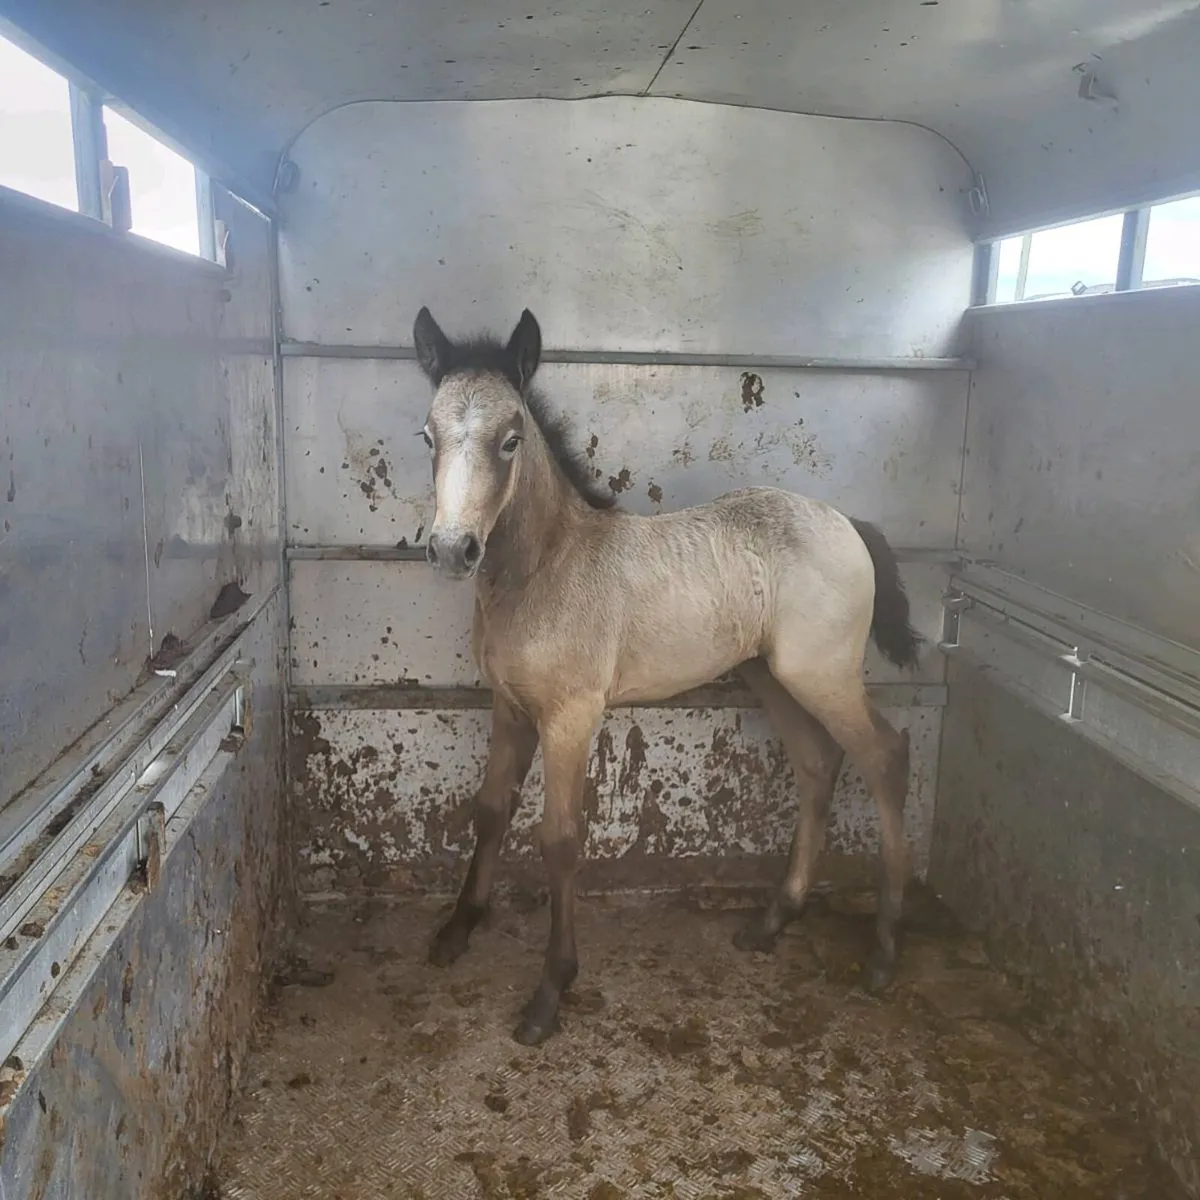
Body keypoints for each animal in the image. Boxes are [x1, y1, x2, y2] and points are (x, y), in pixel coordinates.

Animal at [412, 306, 922, 1046]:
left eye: (511, 439)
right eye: (427, 435)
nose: (454, 549)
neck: (545, 569)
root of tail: (846, 522)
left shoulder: (571, 716)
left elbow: (560, 840)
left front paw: (550, 992)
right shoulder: (509, 708)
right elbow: (490, 810)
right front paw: (456, 931)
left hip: (822, 674)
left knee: (883, 757)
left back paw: (884, 949)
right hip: (770, 676)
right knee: (818, 764)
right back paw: (774, 919)